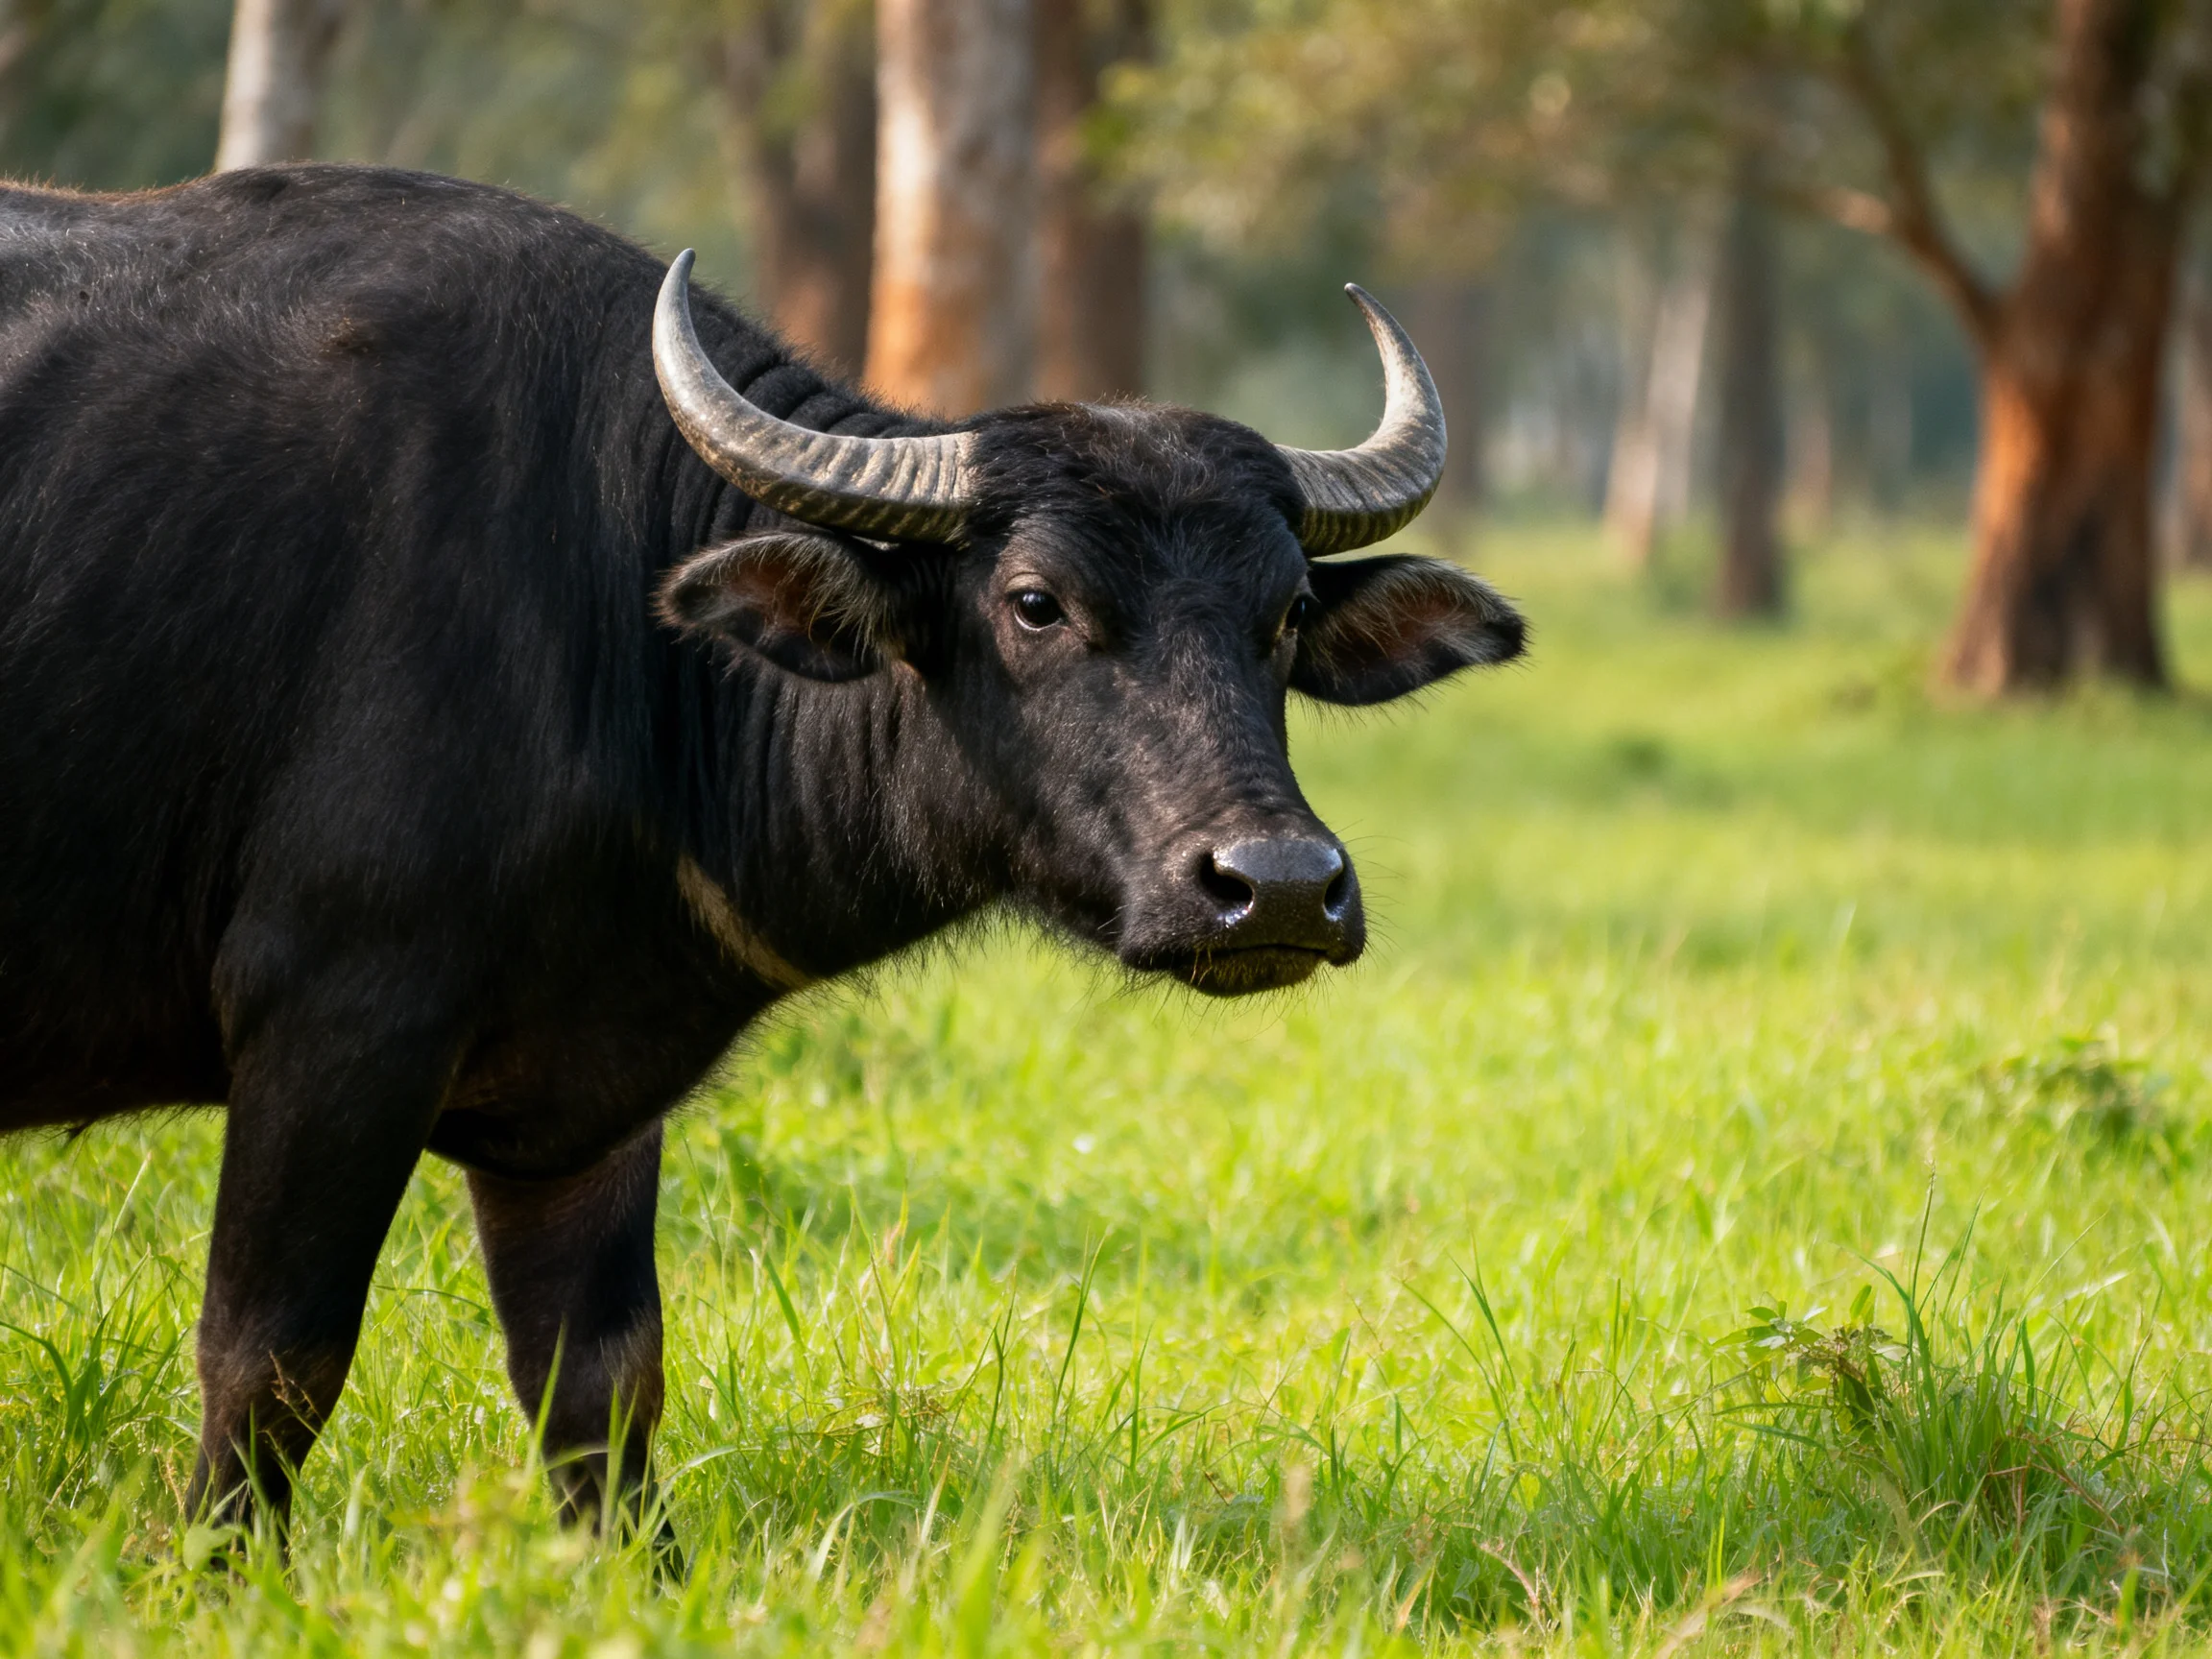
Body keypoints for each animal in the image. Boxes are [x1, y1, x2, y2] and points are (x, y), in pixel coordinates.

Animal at [0, 164, 1523, 1538]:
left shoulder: (584, 1097)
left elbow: (601, 1382)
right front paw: (216, 1570)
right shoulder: (332, 1018)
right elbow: (271, 1358)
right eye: (1036, 602)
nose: (1279, 887)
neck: (614, 623)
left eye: (1284, 613)